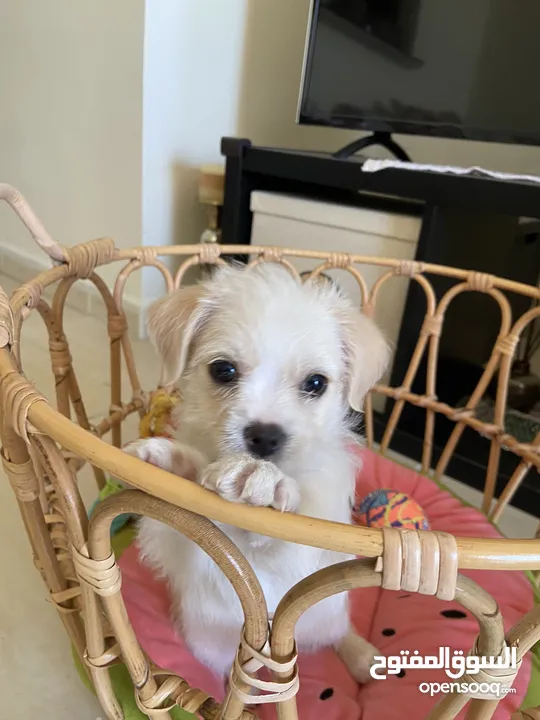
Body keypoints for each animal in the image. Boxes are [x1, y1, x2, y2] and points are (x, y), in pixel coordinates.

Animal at [126, 262, 388, 684]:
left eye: (316, 383)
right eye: (223, 370)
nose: (265, 436)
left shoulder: (304, 549)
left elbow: (288, 530)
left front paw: (265, 479)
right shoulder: (182, 542)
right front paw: (173, 462)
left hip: (327, 614)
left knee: (337, 631)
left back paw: (362, 656)